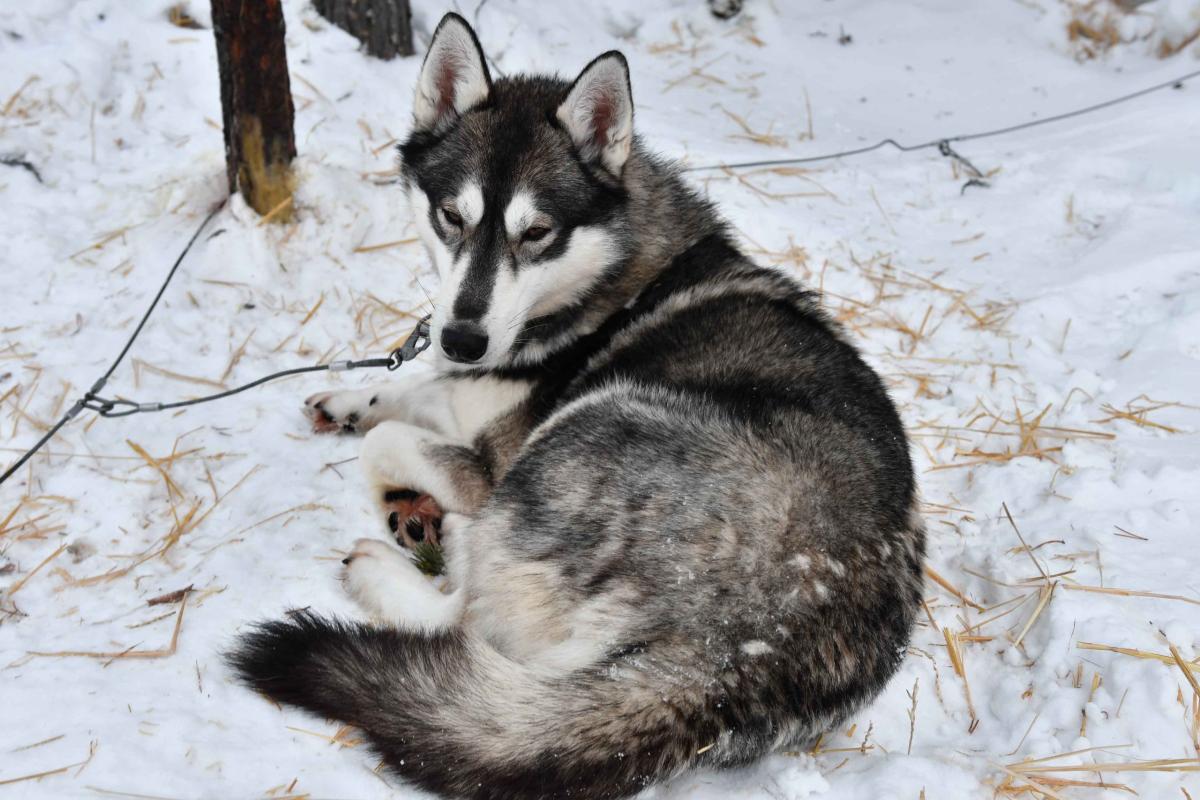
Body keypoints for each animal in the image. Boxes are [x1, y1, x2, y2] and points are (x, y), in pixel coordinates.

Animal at [229, 12, 924, 800]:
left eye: (537, 232)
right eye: (450, 216)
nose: (463, 336)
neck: (604, 287)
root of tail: (745, 656)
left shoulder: (499, 454)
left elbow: (396, 441)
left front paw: (403, 487)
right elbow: (419, 387)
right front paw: (354, 396)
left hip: (592, 427)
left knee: (463, 614)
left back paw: (404, 555)